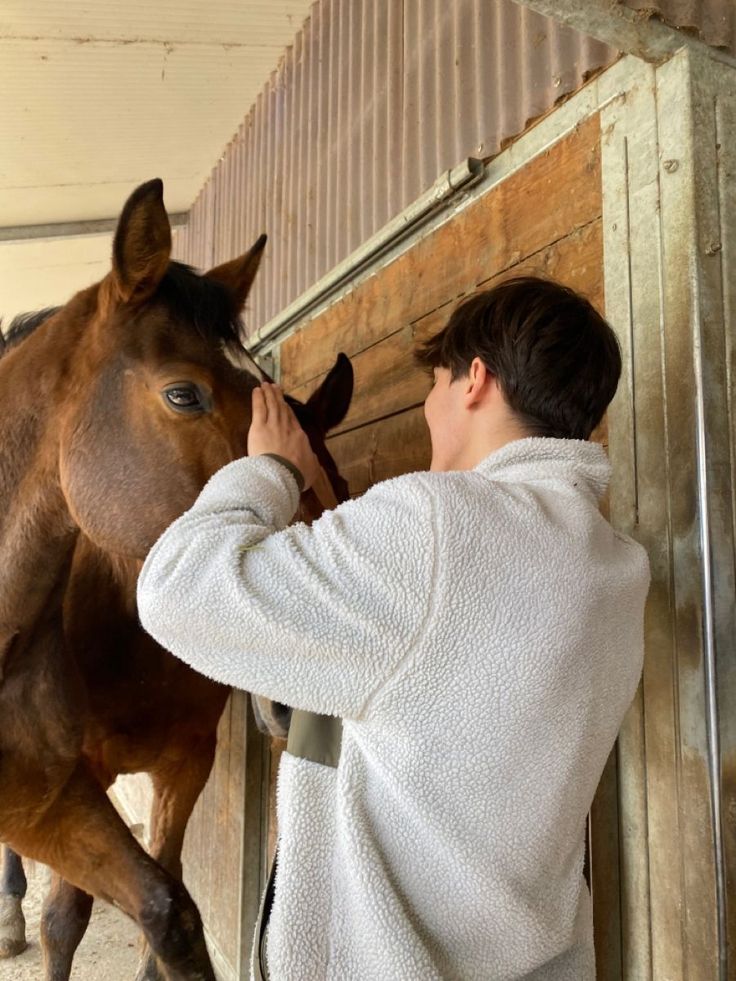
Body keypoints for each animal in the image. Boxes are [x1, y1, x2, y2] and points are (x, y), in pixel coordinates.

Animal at [0, 178, 354, 980]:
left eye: (339, 475)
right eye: (185, 395)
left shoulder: (157, 770)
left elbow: (168, 910)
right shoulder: (85, 776)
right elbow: (66, 920)